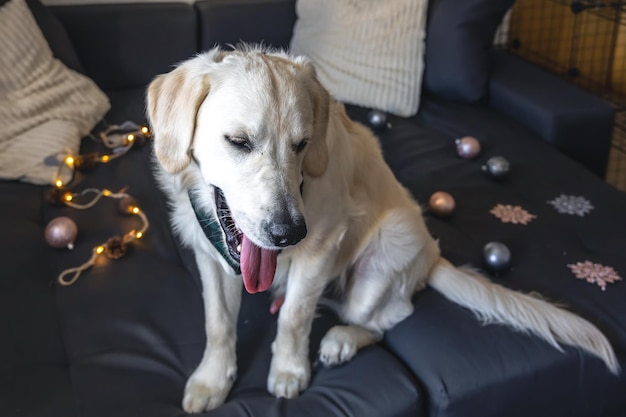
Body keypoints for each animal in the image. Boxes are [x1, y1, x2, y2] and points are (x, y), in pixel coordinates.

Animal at [145, 46, 616, 412]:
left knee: (385, 318)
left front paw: (288, 371)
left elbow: (296, 318)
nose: (288, 234)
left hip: (385, 254)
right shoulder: (209, 256)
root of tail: (434, 257)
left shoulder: (321, 247)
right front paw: (211, 380)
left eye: (302, 145)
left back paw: (340, 340)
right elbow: (218, 323)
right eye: (239, 142)